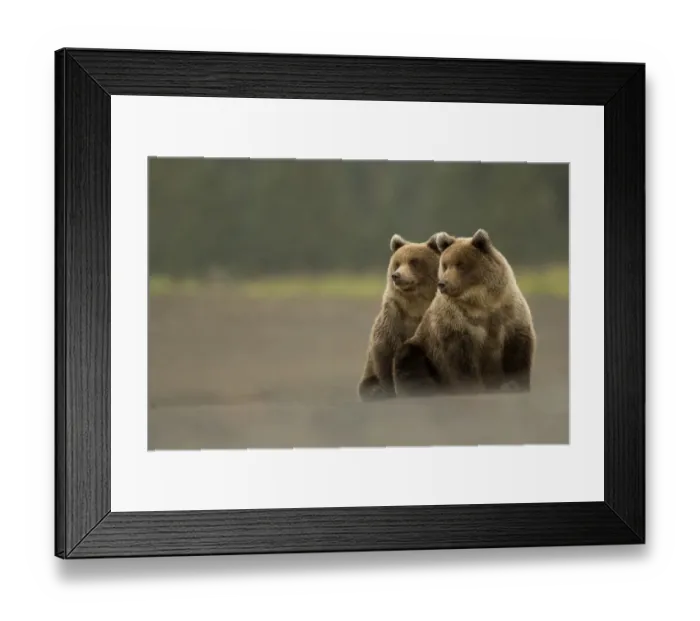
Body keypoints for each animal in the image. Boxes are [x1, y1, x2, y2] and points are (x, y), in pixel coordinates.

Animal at [357, 232, 444, 402]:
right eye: (397, 263)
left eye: (414, 261)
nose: (396, 275)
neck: (415, 305)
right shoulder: (393, 318)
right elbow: (384, 351)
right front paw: (388, 390)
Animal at [392, 228, 536, 398]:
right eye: (445, 265)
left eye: (460, 264)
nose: (443, 283)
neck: (482, 301)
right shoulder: (456, 322)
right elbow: (460, 358)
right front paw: (471, 387)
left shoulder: (508, 312)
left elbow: (517, 349)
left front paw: (514, 384)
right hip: (423, 349)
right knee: (407, 357)